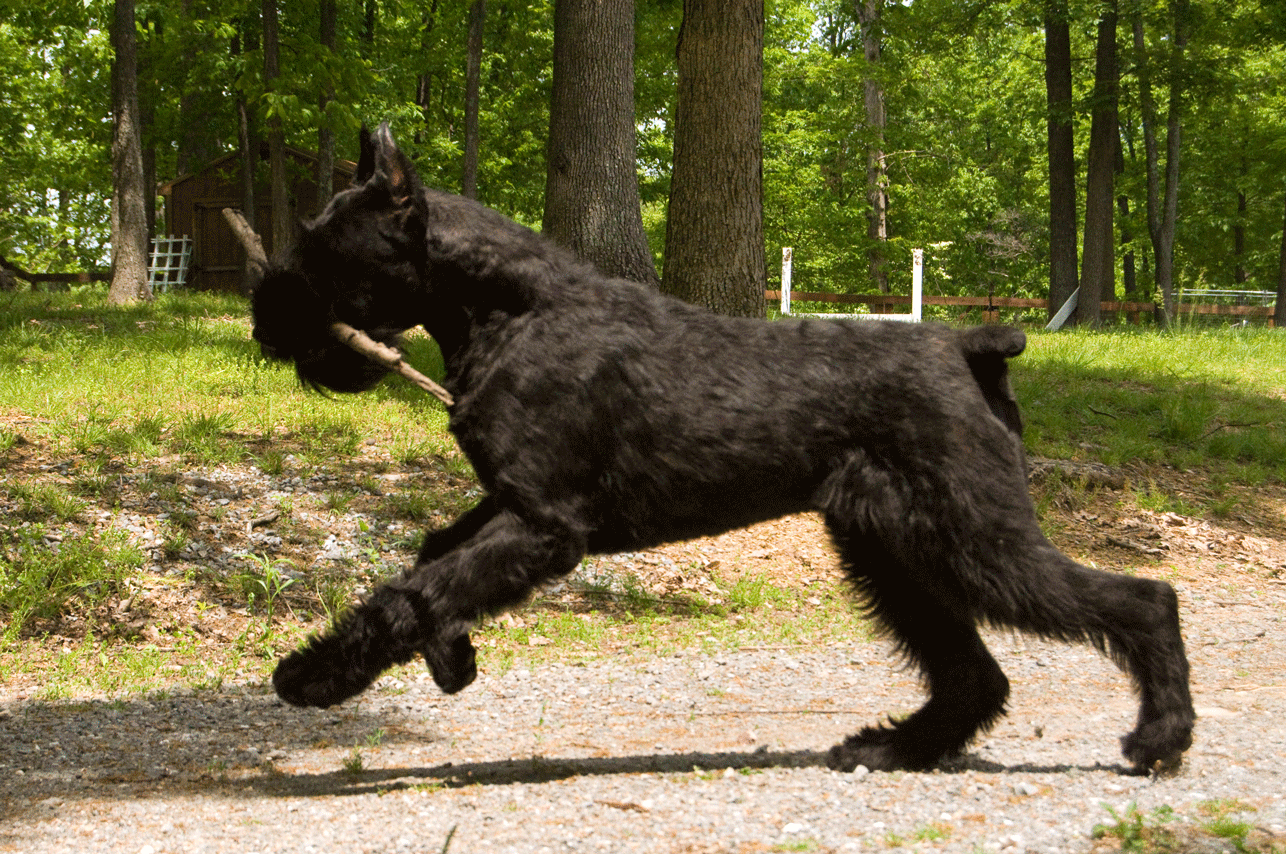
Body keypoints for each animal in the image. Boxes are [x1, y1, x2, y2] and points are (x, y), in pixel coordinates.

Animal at [250, 126, 1193, 771]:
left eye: (320, 247)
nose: (264, 322)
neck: (511, 310)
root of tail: (967, 346)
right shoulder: (515, 504)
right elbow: (431, 558)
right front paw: (452, 657)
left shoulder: (544, 524)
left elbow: (413, 590)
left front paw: (314, 675)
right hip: (894, 549)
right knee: (974, 672)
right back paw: (892, 749)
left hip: (972, 538)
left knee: (1141, 598)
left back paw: (1159, 737)